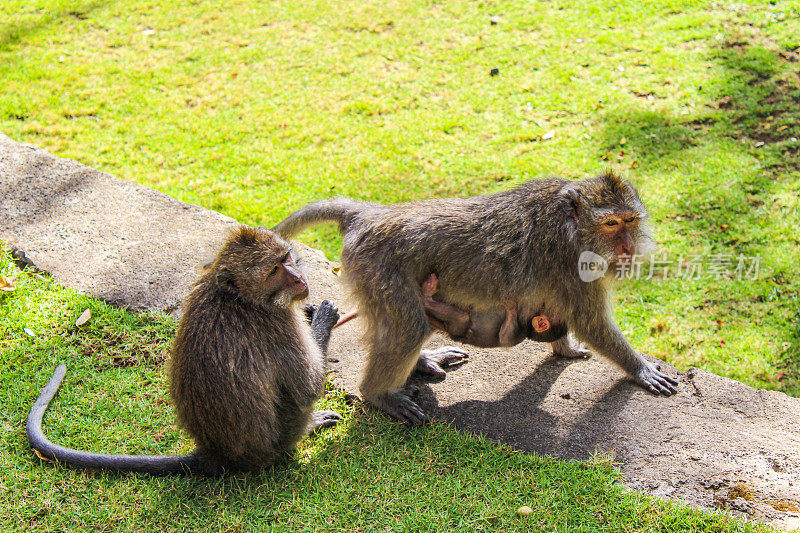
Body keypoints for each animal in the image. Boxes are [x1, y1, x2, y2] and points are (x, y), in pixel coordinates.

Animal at [26, 224, 340, 474]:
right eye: (274, 270)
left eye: (286, 258)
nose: (298, 278)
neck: (237, 296)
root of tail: (215, 454)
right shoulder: (280, 325)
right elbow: (308, 388)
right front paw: (324, 318)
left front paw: (313, 312)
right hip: (280, 437)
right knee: (295, 403)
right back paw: (309, 425)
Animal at [418, 272, 568, 348]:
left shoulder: (523, 326)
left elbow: (505, 338)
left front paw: (510, 306)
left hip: (457, 327)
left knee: (462, 317)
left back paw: (426, 295)